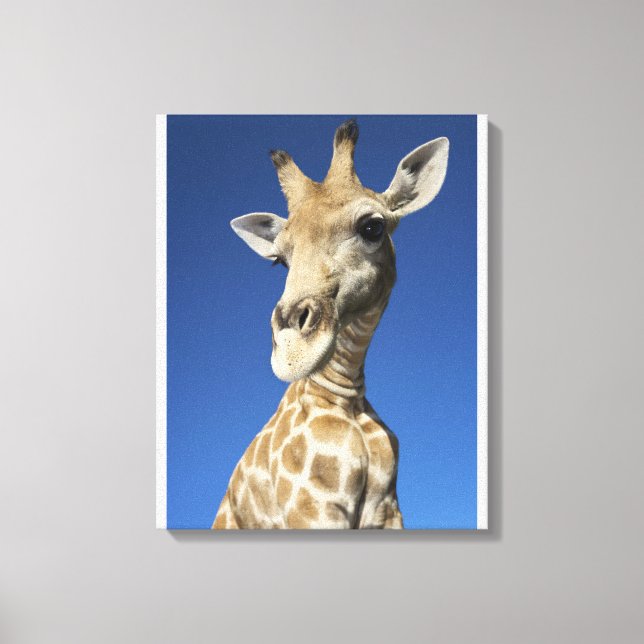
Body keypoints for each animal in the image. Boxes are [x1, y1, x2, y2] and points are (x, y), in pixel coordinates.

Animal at [212, 120, 449, 529]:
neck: (345, 396)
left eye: (373, 227)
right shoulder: (313, 505)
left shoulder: (387, 509)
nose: (291, 353)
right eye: (279, 260)